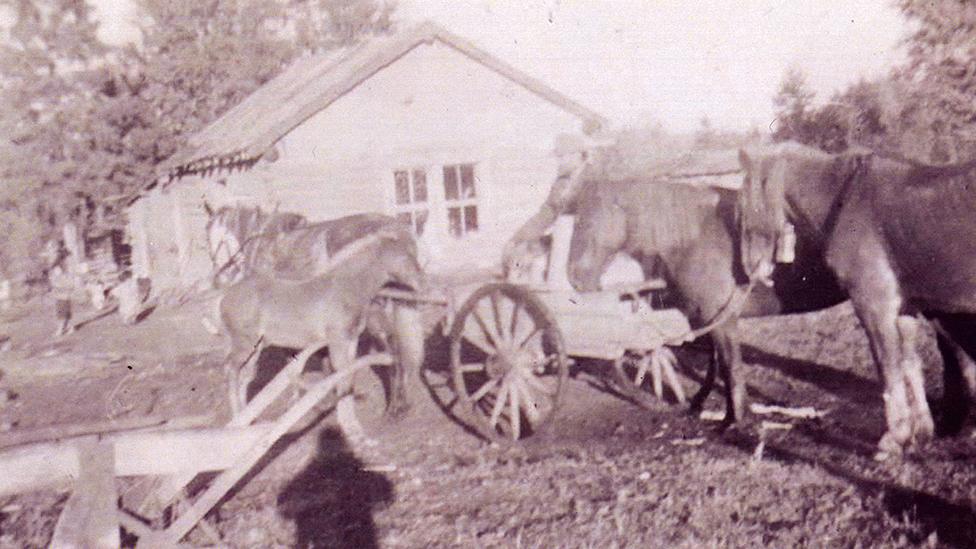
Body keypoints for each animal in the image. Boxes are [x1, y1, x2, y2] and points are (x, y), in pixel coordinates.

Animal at [219, 227, 426, 420]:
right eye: (405, 255)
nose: (422, 281)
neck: (345, 288)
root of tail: (225, 297)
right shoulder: (337, 341)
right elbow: (342, 374)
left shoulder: (351, 340)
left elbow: (349, 374)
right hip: (244, 345)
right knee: (231, 371)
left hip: (256, 348)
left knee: (244, 376)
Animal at [568, 176, 852, 428]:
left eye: (591, 219)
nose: (574, 277)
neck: (693, 237)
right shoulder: (709, 318)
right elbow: (715, 365)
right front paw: (709, 407)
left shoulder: (722, 322)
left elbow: (730, 367)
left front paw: (735, 421)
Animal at [736, 141, 976, 458]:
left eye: (743, 204)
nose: (750, 269)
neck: (846, 198)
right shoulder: (905, 308)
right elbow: (910, 365)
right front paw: (919, 434)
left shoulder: (874, 306)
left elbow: (888, 367)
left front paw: (894, 439)